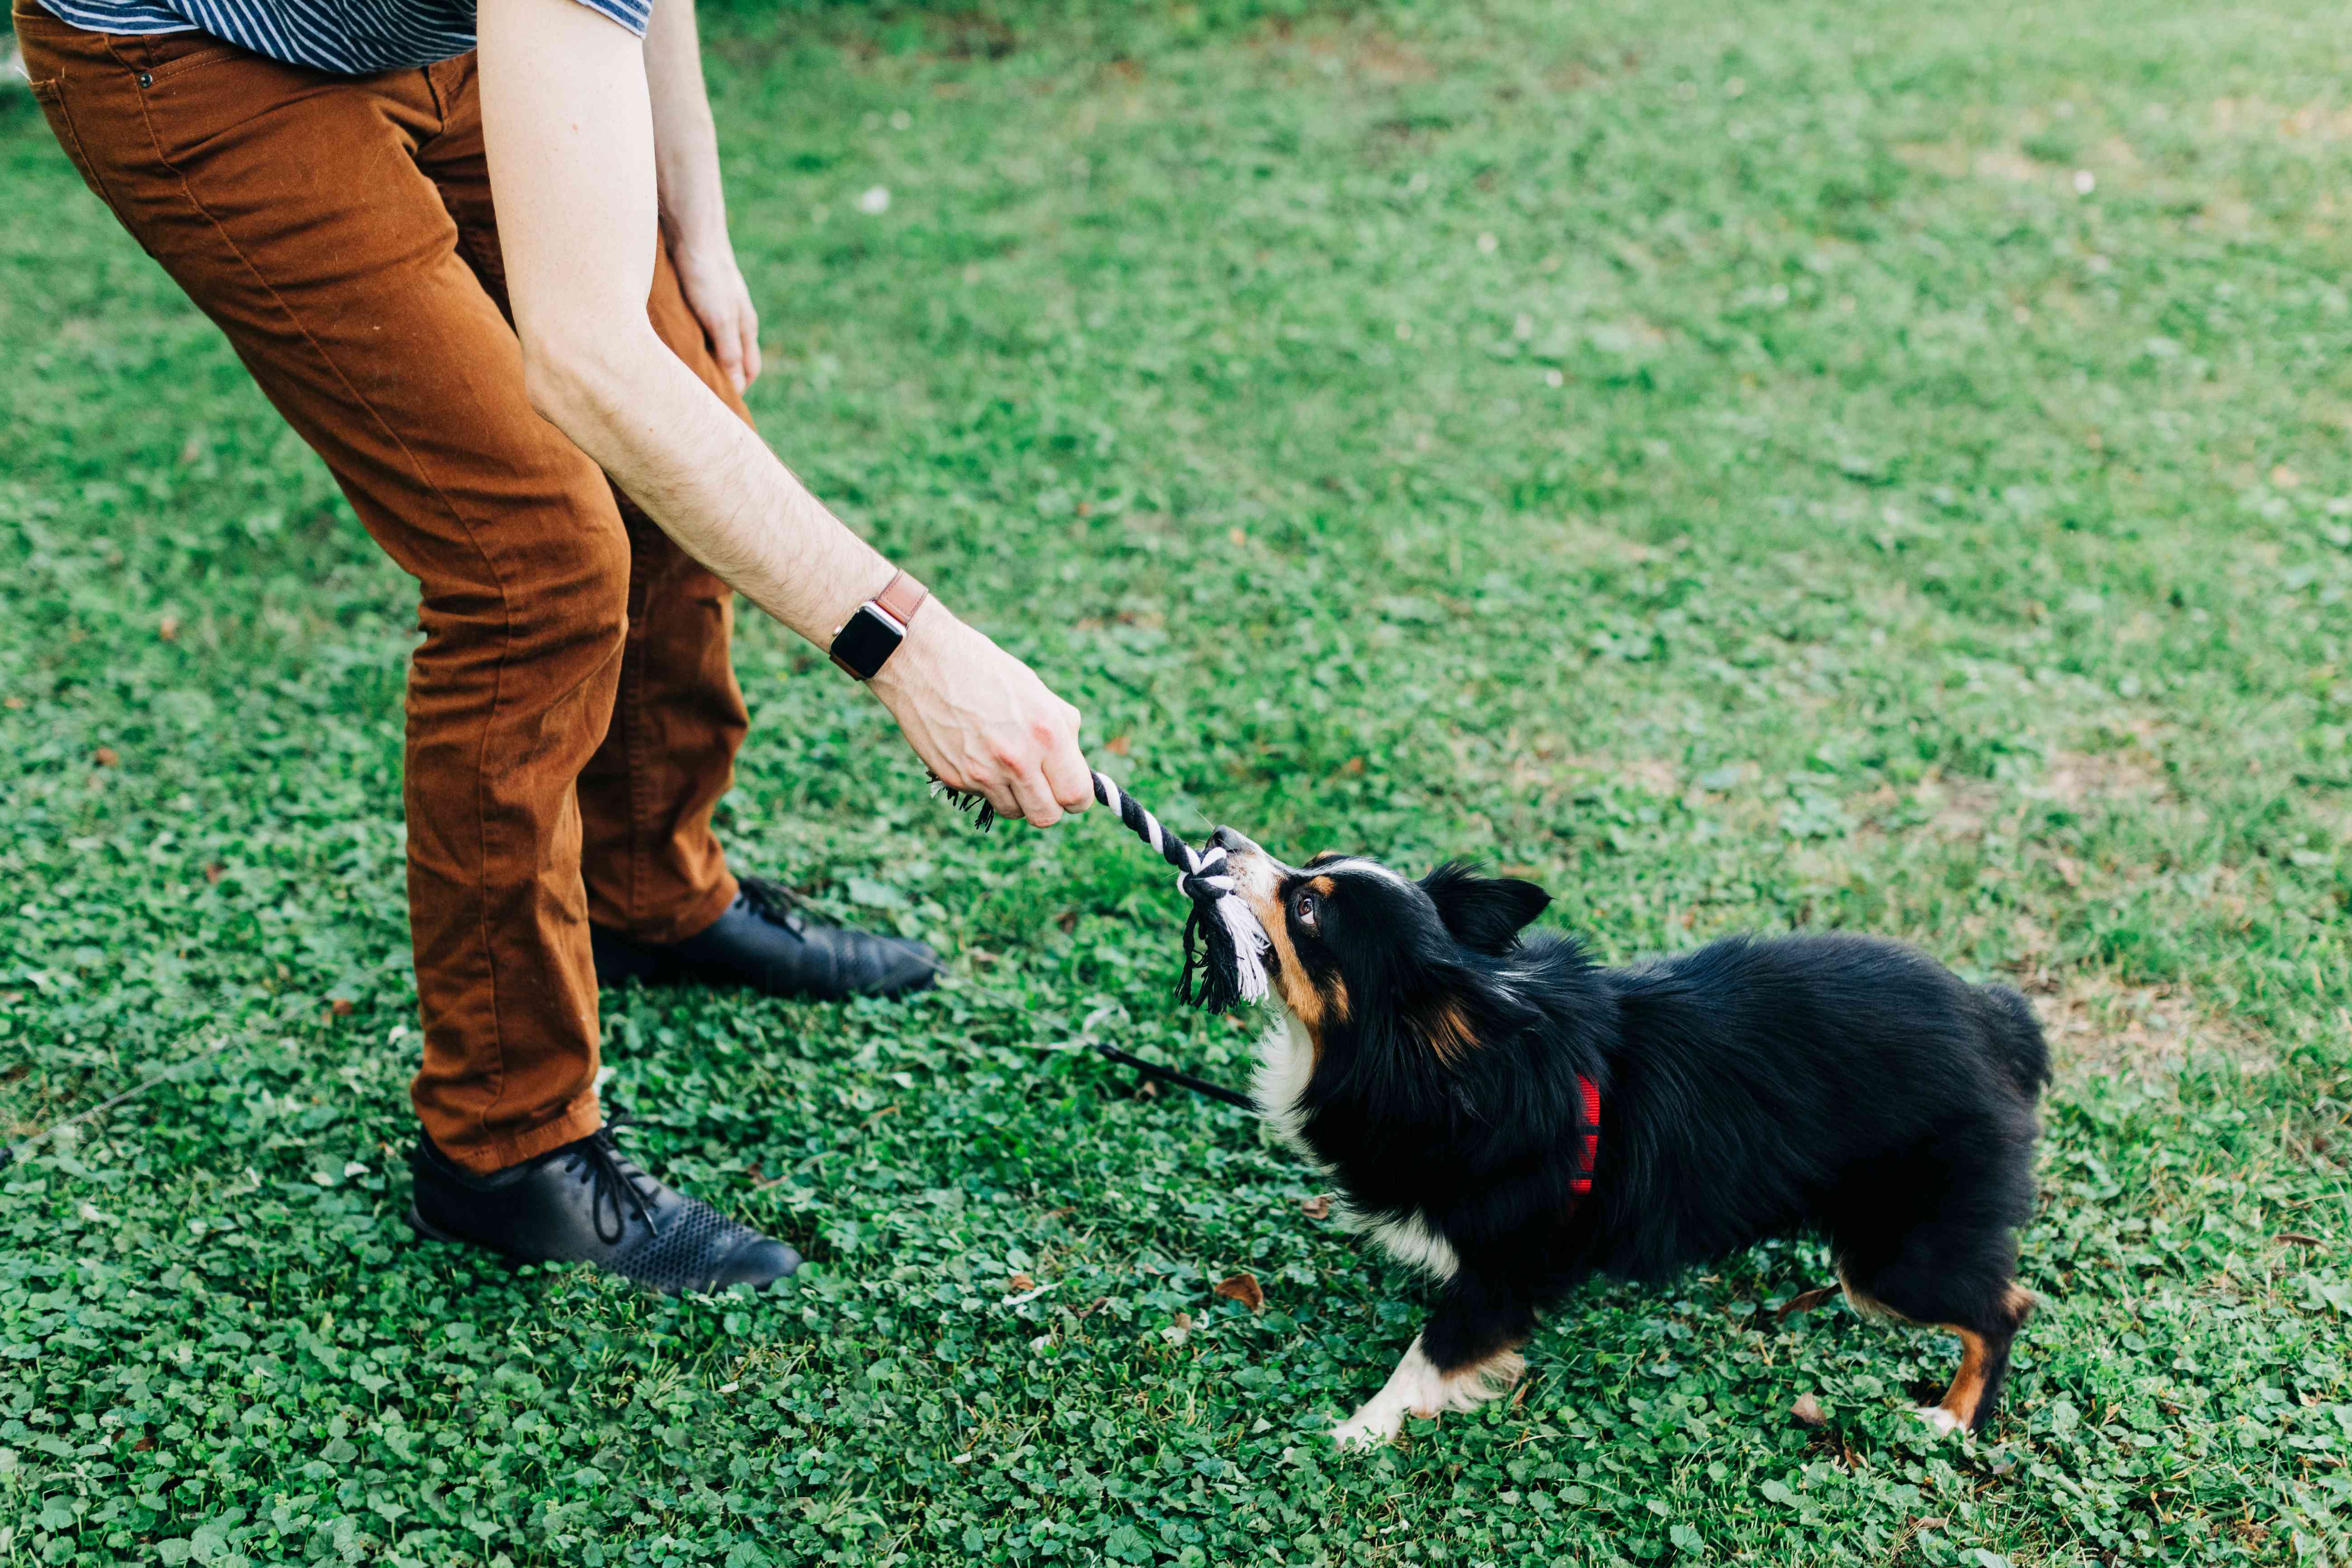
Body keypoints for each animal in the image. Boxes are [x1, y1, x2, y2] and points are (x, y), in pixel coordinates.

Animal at [1214, 827, 2060, 1457]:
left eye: (1307, 910)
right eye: (1314, 862)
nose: (1221, 840)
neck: (1440, 1068)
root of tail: (1998, 1023)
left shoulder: (1506, 1271)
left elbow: (1429, 1354)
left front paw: (1355, 1431)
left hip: (1891, 1257)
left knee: (2004, 1307)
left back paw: (1954, 1418)